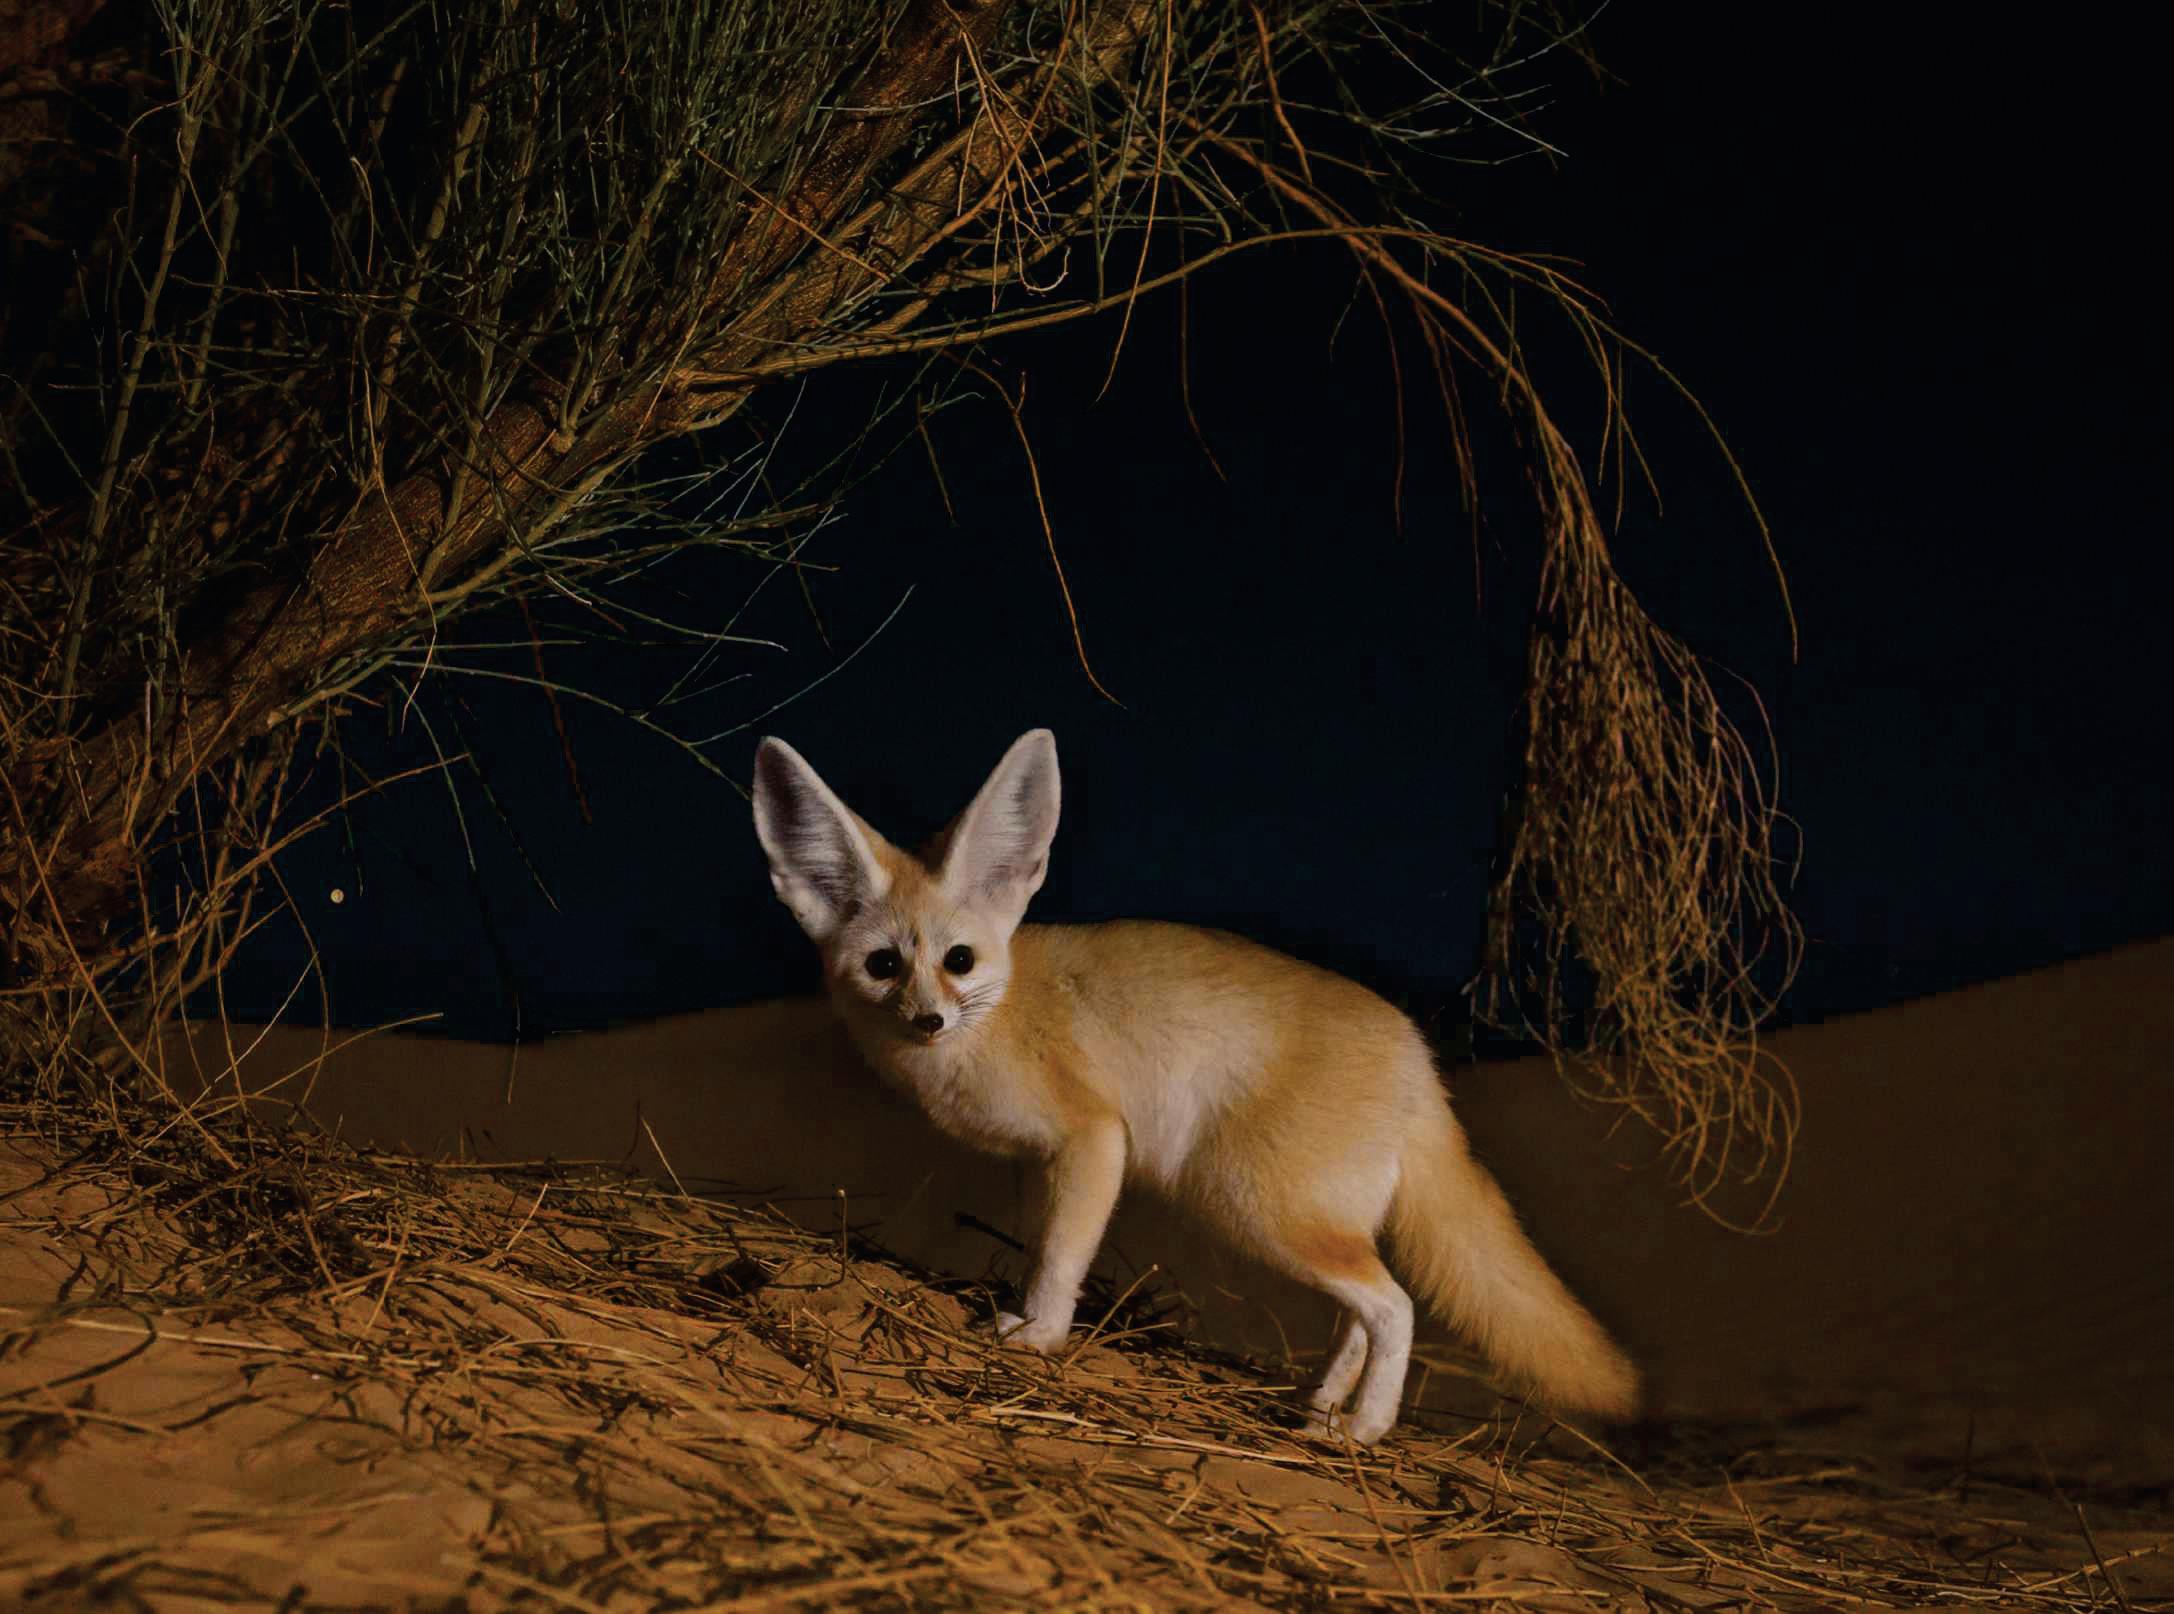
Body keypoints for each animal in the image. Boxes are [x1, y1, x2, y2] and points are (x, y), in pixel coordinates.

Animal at [749, 728, 1638, 1443]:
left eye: (958, 961)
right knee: (1361, 1315)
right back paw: (1321, 1406)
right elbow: (1041, 1246)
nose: (930, 1019)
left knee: (1394, 1307)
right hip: (1311, 1219)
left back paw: (1365, 1428)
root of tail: (1421, 1059)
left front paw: (1040, 1337)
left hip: (1255, 1204)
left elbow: (1062, 1260)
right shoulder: (1044, 1163)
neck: (997, 1015)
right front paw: (1026, 1312)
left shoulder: (1094, 1140)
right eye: (883, 966)